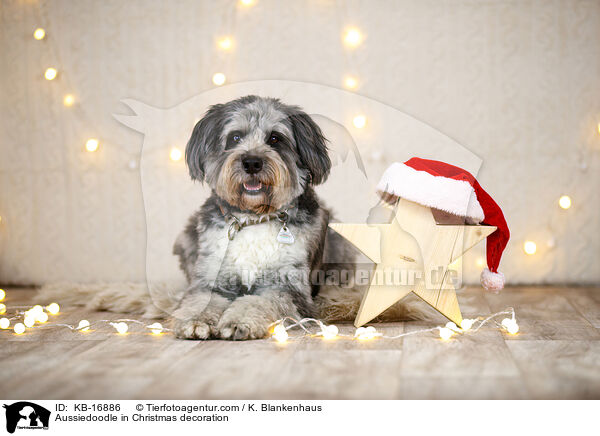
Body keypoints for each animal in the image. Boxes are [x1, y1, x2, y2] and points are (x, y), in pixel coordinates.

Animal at [170, 96, 356, 340]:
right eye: (235, 137)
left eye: (275, 138)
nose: (251, 163)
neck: (253, 218)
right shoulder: (211, 278)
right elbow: (200, 300)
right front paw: (195, 321)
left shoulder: (285, 285)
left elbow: (257, 302)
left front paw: (239, 322)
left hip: (338, 239)